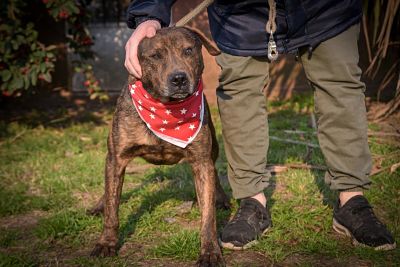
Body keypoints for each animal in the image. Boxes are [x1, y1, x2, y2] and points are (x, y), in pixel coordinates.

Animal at [89, 27, 230, 267]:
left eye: (188, 50)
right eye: (155, 56)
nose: (179, 78)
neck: (167, 109)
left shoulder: (201, 161)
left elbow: (208, 215)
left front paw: (210, 251)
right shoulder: (117, 158)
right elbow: (112, 209)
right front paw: (106, 242)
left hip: (213, 148)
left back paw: (220, 198)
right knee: (109, 190)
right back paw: (99, 204)